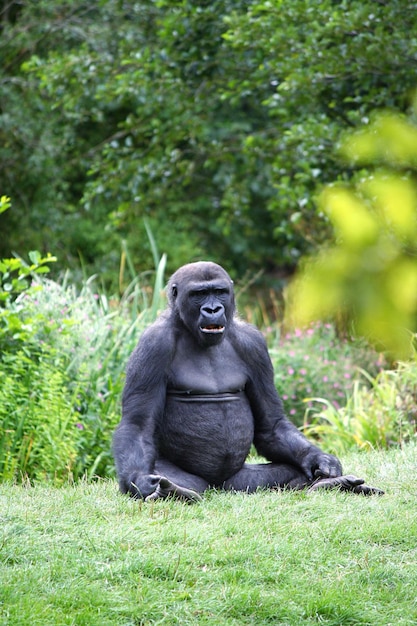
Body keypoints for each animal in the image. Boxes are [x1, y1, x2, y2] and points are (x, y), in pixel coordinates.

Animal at [112, 260, 382, 500]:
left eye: (219, 292)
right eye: (199, 294)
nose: (213, 310)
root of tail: (220, 486)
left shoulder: (254, 344)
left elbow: (271, 425)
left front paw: (320, 460)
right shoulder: (153, 345)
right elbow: (138, 425)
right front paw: (141, 481)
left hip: (238, 481)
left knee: (284, 472)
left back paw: (331, 484)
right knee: (183, 480)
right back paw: (174, 490)